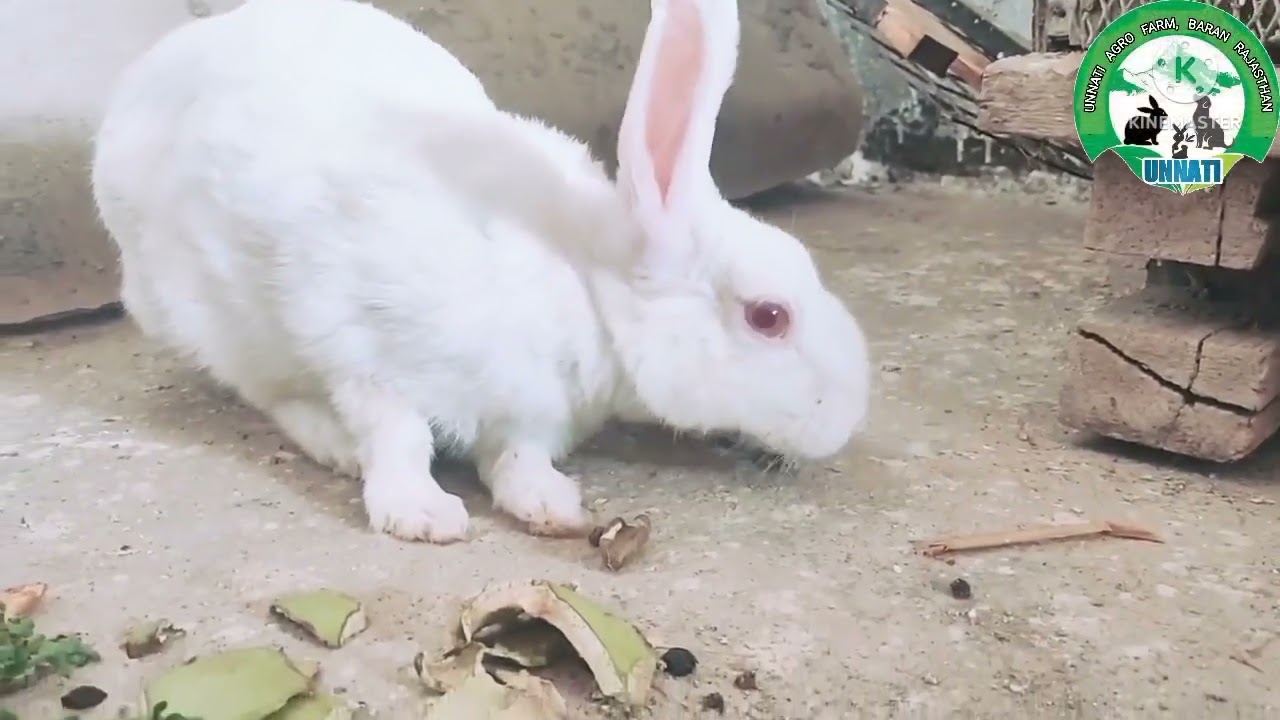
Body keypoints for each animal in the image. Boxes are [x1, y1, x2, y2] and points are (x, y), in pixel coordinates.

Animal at [90, 0, 871, 544]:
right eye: (768, 316)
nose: (847, 420)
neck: (584, 288)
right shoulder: (366, 349)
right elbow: (398, 436)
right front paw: (421, 514)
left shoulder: (529, 414)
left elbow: (517, 459)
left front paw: (552, 505)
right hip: (215, 317)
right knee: (265, 389)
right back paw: (332, 443)